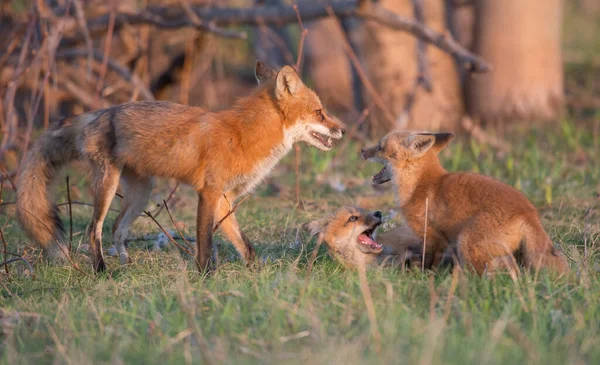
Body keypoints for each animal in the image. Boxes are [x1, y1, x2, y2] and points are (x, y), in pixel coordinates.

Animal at [16, 61, 344, 270]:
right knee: (93, 229)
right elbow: (205, 243)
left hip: (140, 194)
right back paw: (101, 271)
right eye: (320, 112)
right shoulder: (209, 192)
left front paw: (254, 273)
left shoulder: (225, 198)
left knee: (117, 229)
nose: (342, 130)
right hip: (107, 186)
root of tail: (97, 113)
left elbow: (244, 245)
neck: (242, 136)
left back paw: (125, 267)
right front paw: (205, 277)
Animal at [360, 131, 568, 272]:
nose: (361, 150)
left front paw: (424, 277)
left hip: (467, 242)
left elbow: (430, 262)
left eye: (380, 147)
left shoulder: (432, 236)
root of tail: (528, 211)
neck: (420, 184)